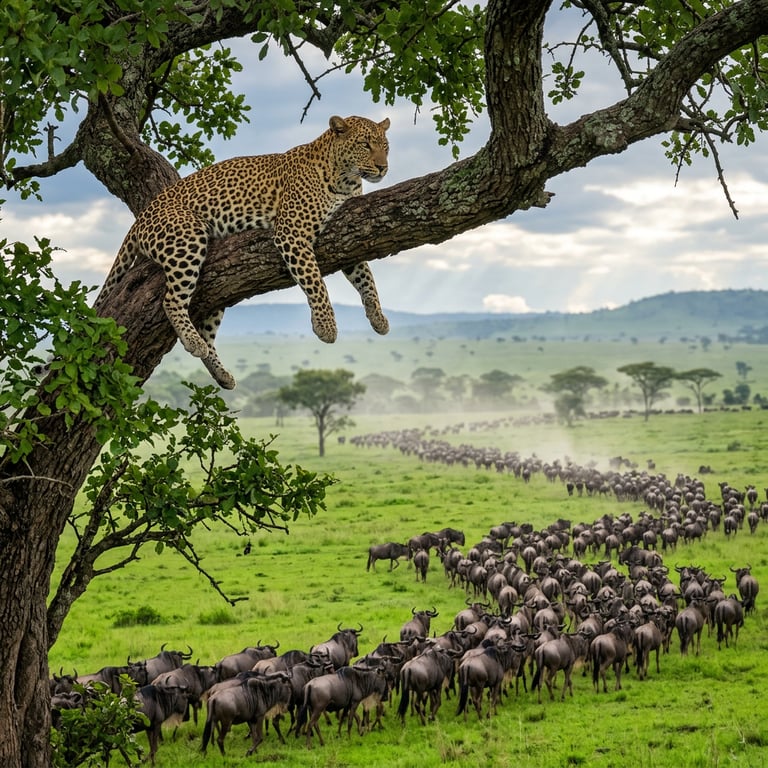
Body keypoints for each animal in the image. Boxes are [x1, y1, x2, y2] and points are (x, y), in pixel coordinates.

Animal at [96, 115, 391, 389]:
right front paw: (326, 326)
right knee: (171, 300)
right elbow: (315, 281)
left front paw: (378, 318)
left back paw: (221, 374)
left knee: (207, 330)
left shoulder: (350, 233)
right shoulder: (292, 231)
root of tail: (141, 217)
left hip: (220, 289)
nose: (383, 167)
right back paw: (192, 341)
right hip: (187, 237)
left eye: (385, 147)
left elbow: (366, 278)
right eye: (365, 145)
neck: (345, 179)